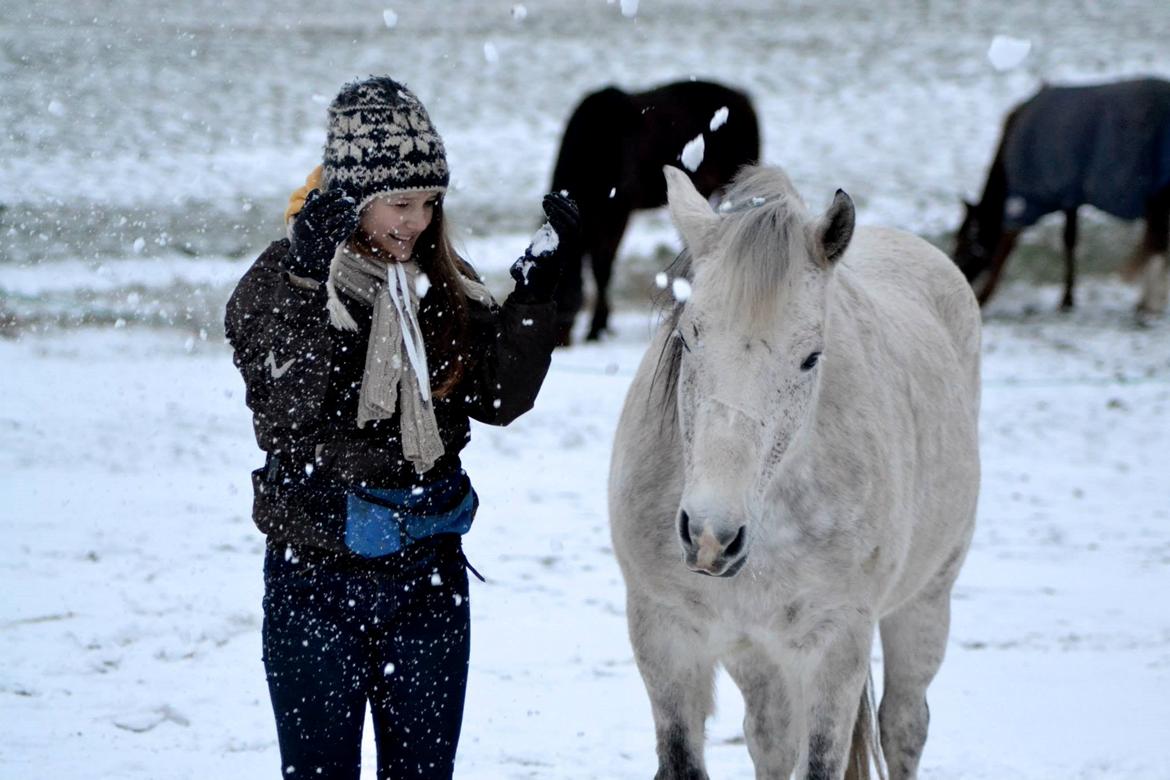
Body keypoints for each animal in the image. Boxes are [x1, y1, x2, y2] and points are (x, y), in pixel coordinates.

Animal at [608, 166, 982, 780]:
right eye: (686, 336)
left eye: (810, 357)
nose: (711, 536)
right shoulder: (665, 636)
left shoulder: (835, 645)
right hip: (758, 656)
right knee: (772, 736)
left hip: (926, 603)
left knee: (904, 725)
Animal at [954, 77, 1170, 313]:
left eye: (964, 243)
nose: (956, 272)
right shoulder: (1069, 196)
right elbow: (1070, 240)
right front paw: (1068, 297)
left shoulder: (1028, 197)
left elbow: (1009, 244)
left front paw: (985, 296)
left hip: (1156, 196)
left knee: (1157, 243)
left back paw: (1149, 303)